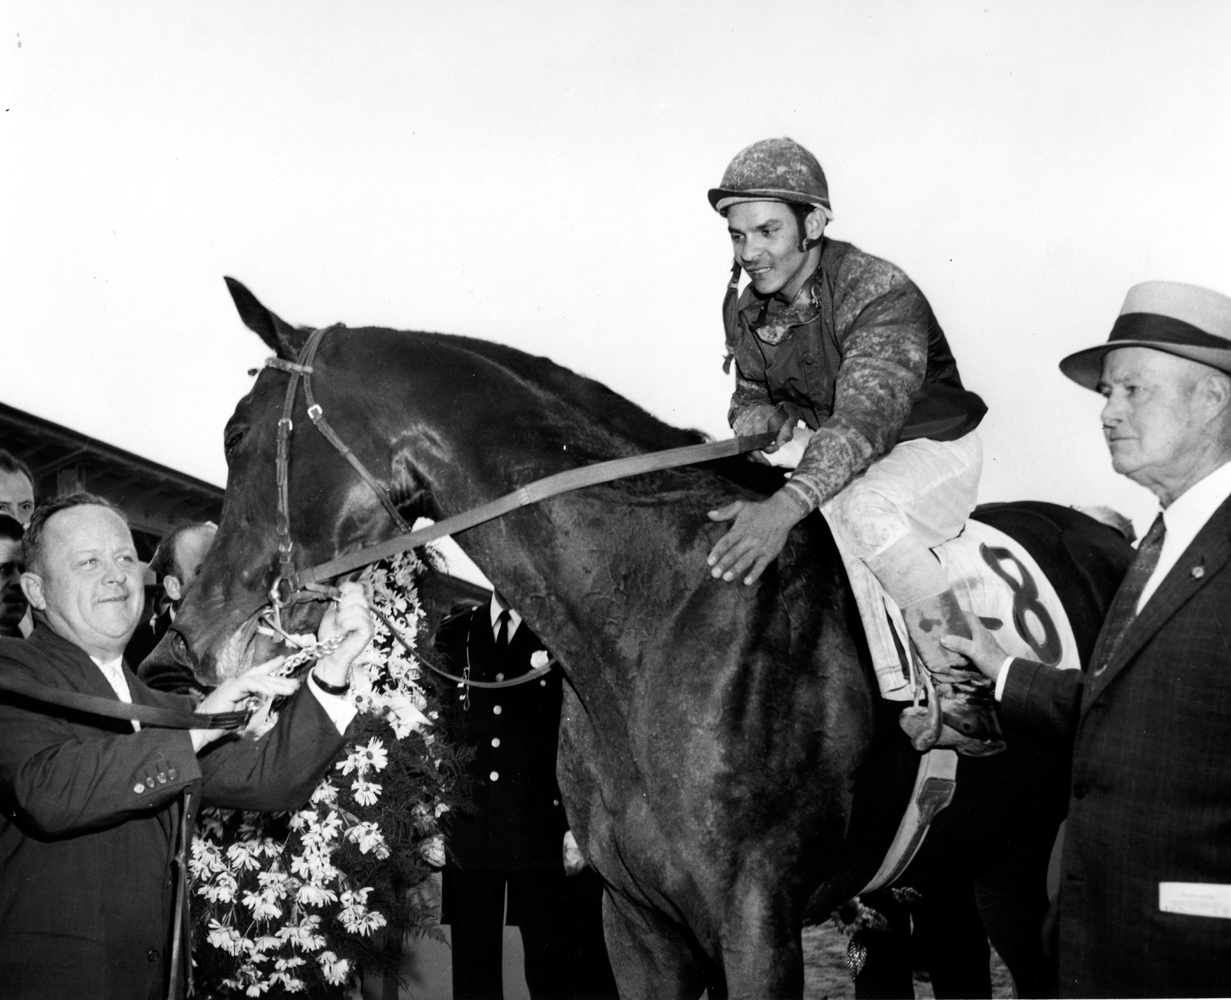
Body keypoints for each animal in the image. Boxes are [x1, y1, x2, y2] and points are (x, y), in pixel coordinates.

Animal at [168, 280, 1127, 1000]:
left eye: (236, 433)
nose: (192, 634)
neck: (659, 617)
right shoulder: (637, 922)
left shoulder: (756, 927)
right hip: (984, 860)